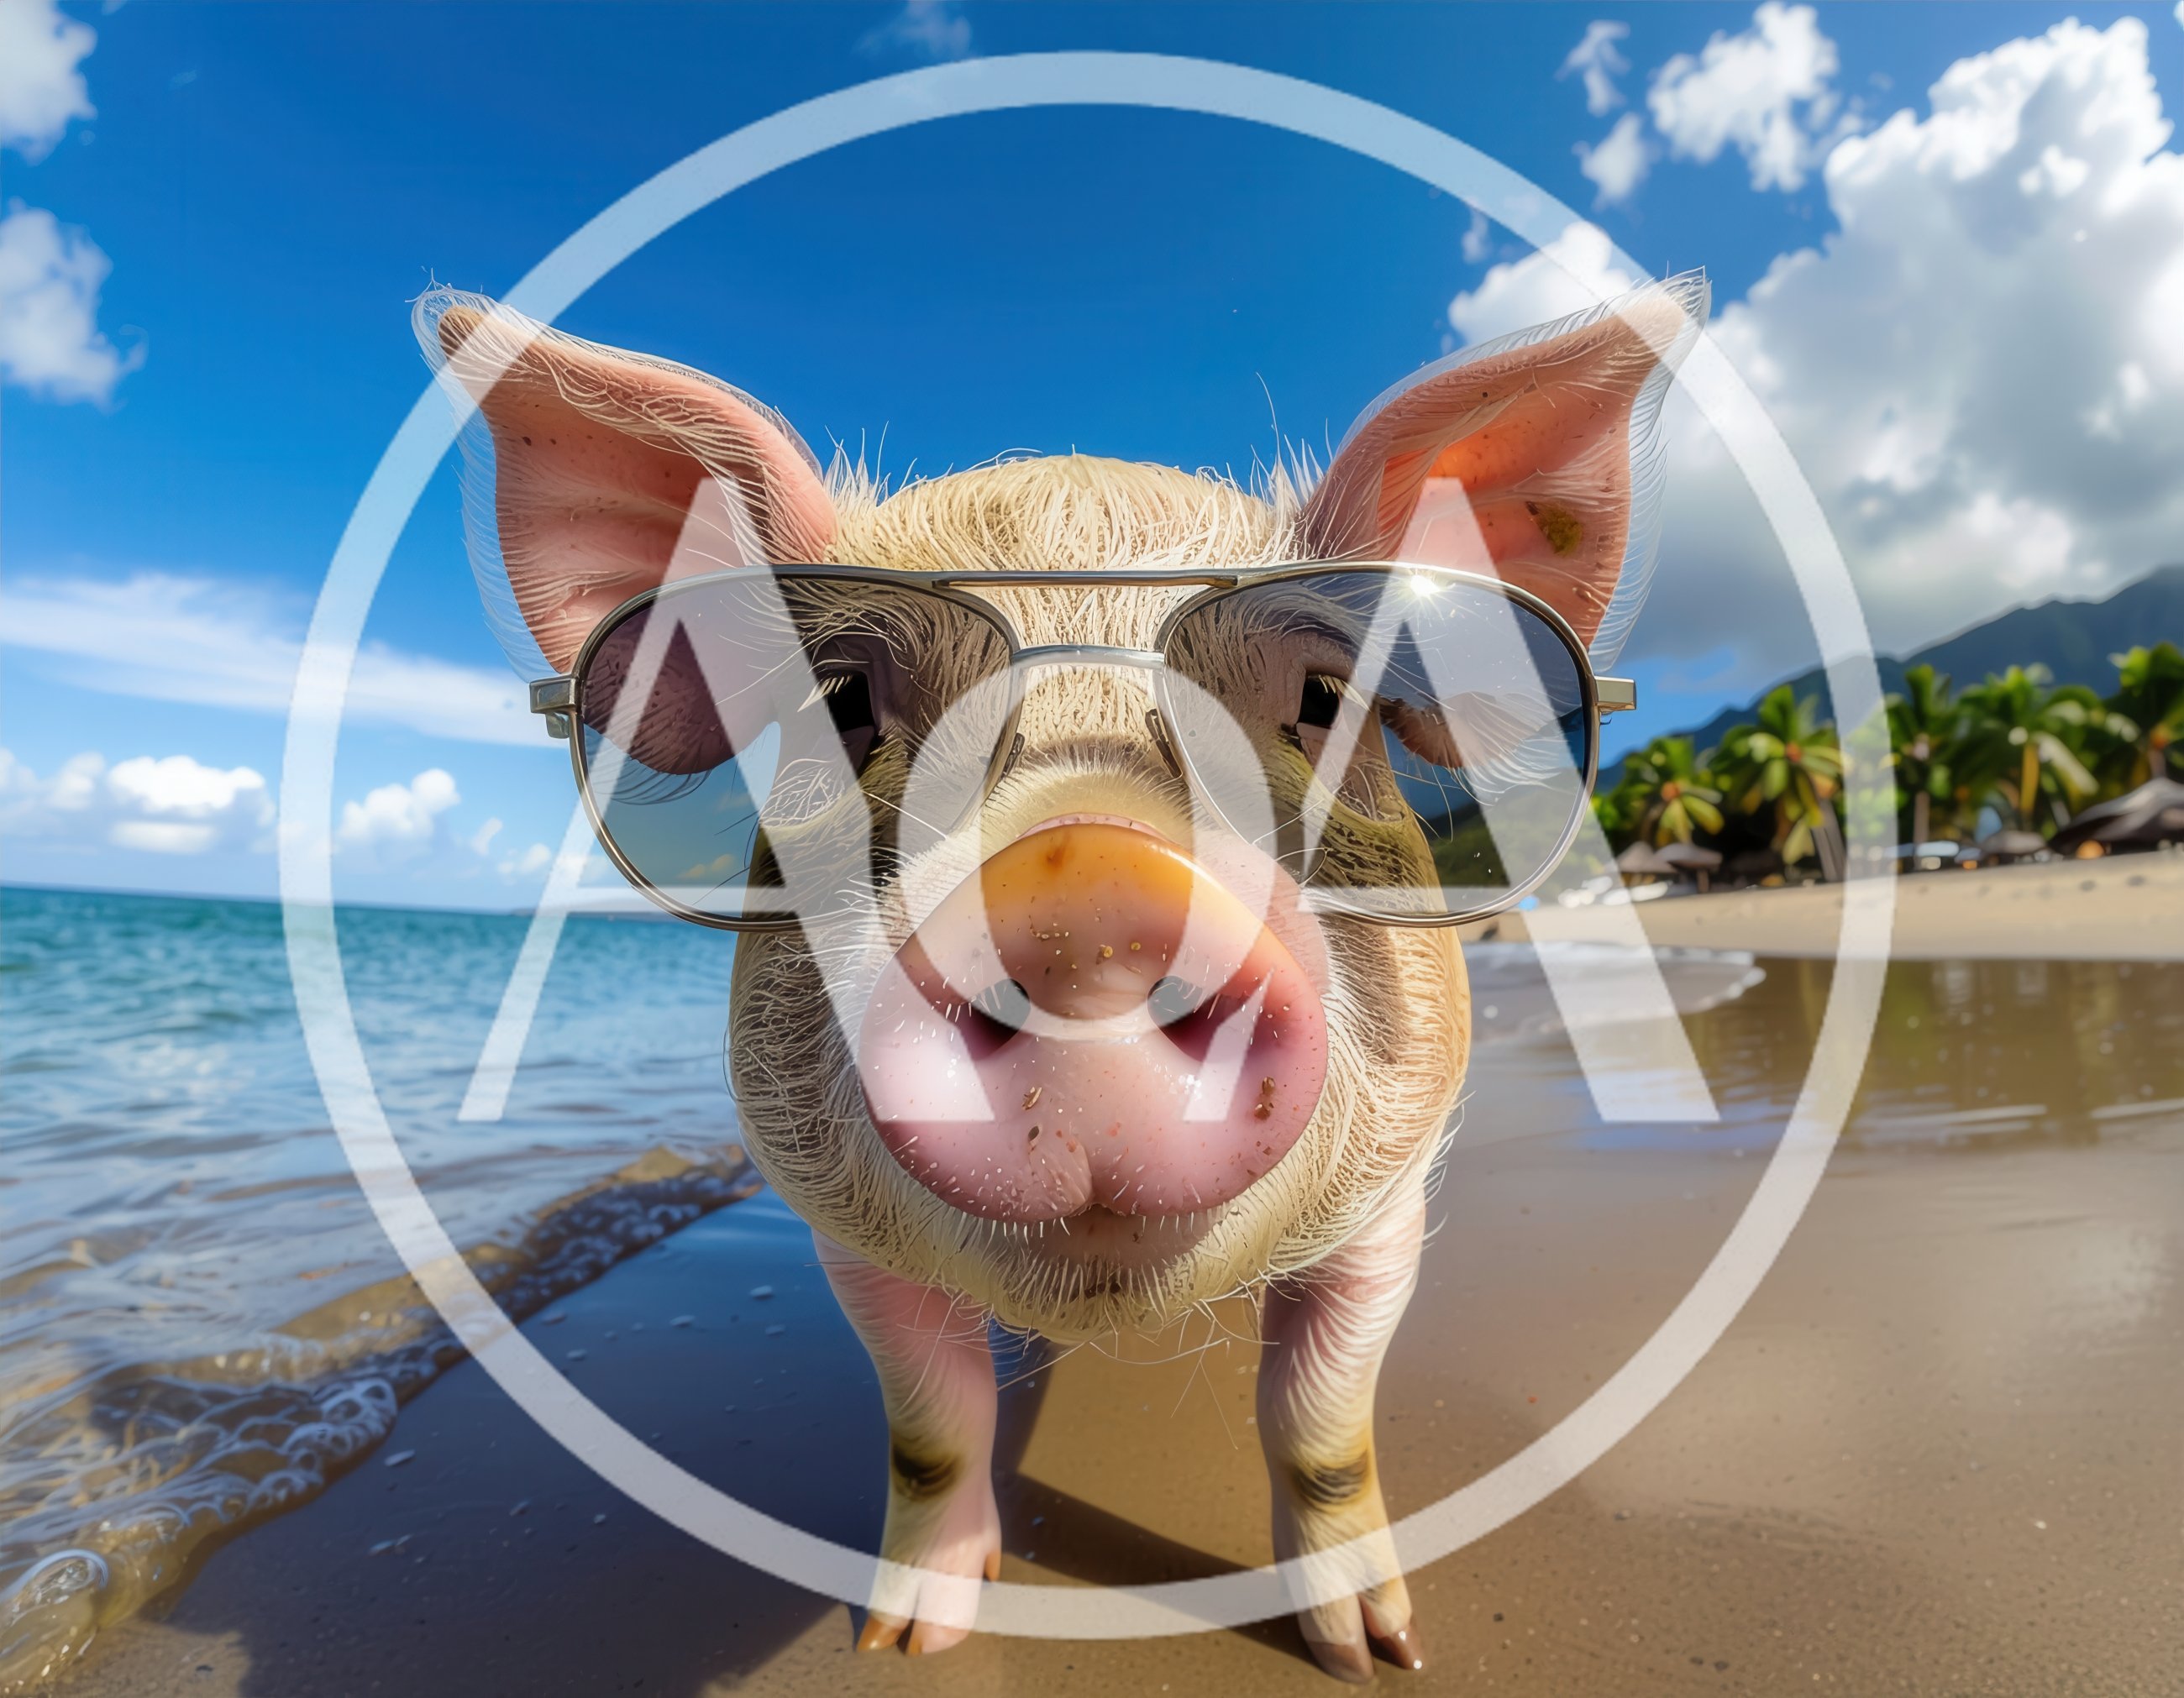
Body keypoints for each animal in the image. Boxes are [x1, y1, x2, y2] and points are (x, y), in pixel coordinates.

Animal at [418, 272, 1702, 1680]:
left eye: (1322, 698)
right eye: (844, 706)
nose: (1084, 889)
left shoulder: (1390, 1201)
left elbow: (1321, 1425)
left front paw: (1373, 1655)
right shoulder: (842, 1232)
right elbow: (932, 1424)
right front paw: (903, 1639)